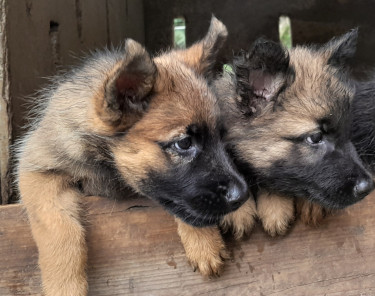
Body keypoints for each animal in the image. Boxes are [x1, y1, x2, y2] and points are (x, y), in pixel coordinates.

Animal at [15, 17, 250, 294]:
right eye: (184, 143)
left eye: (221, 137)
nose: (243, 196)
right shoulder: (38, 170)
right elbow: (57, 227)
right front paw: (65, 286)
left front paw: (212, 234)